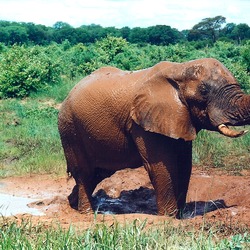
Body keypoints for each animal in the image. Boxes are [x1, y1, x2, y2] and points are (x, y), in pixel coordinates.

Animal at [58, 58, 250, 217]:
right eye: (204, 91)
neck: (180, 68)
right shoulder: (142, 123)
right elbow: (162, 165)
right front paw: (169, 217)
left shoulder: (179, 117)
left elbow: (184, 164)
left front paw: (180, 215)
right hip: (70, 129)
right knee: (84, 172)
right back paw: (87, 212)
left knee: (98, 173)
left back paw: (72, 203)